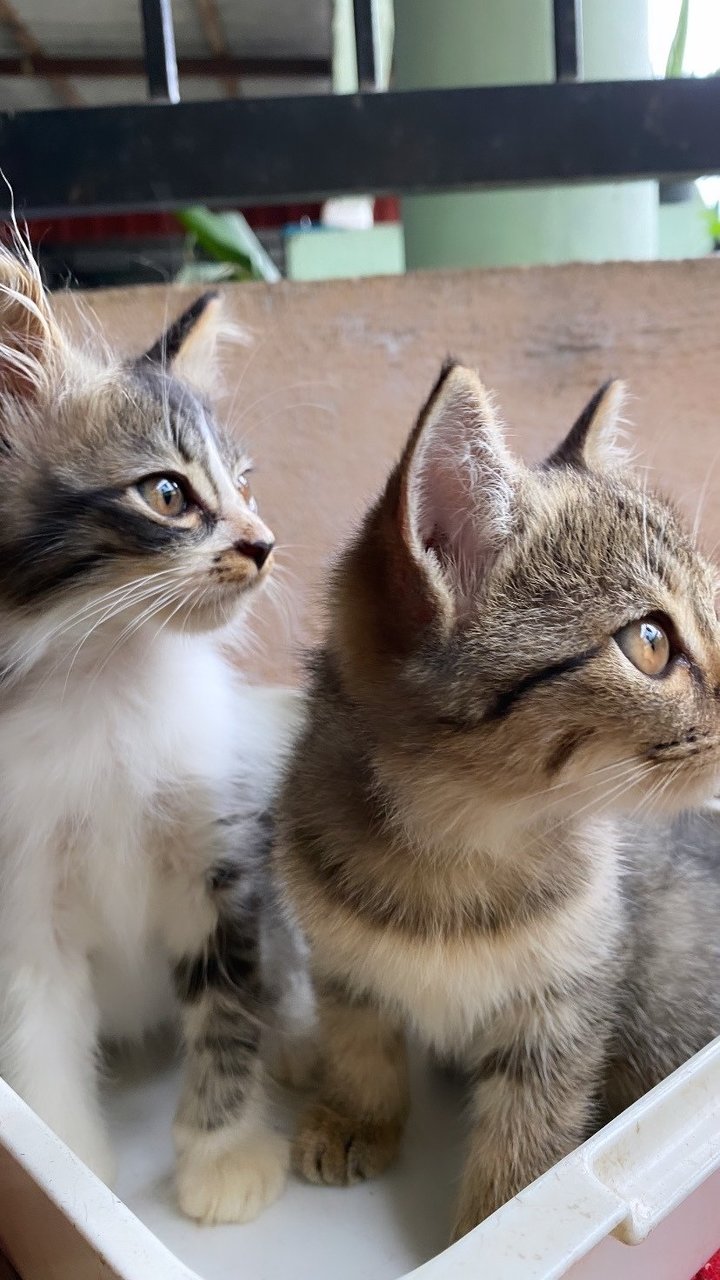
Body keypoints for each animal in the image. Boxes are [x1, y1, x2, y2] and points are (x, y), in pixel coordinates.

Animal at [0, 241, 304, 1228]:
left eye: (244, 484)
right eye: (168, 493)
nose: (264, 542)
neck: (109, 681)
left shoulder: (225, 865)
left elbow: (228, 1016)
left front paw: (223, 1156)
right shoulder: (22, 915)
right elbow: (41, 1048)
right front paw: (71, 1181)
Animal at [272, 363, 717, 1239]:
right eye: (651, 642)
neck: (455, 849)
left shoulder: (567, 1004)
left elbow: (527, 1145)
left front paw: (492, 1219)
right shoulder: (338, 956)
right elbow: (358, 1037)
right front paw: (357, 1113)